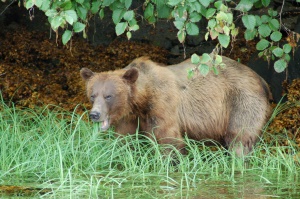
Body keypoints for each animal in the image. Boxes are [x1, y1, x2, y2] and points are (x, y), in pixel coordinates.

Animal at [80, 55, 272, 156]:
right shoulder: (131, 117)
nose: (94, 114)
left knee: (240, 136)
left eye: (108, 96)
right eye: (93, 95)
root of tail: (261, 79)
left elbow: (168, 140)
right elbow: (123, 141)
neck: (141, 100)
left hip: (240, 101)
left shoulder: (163, 105)